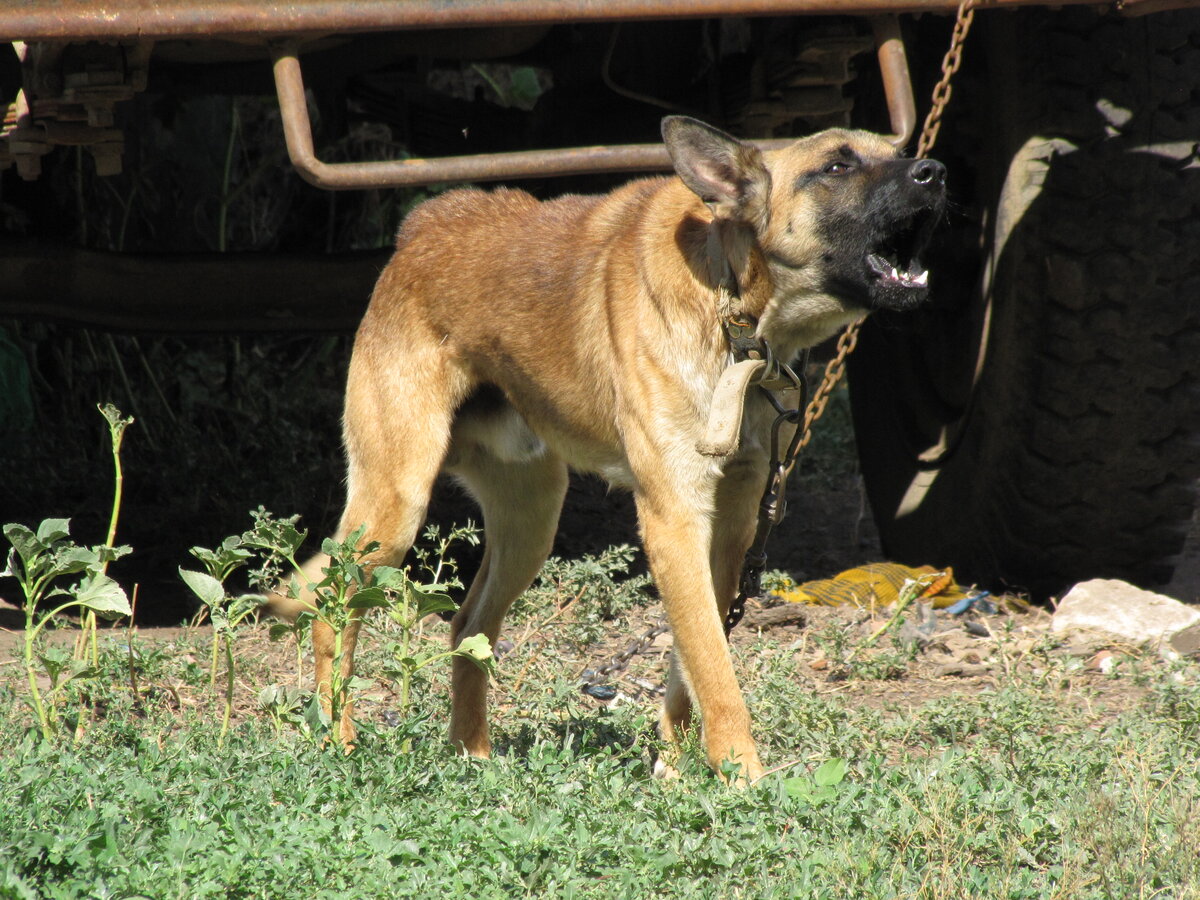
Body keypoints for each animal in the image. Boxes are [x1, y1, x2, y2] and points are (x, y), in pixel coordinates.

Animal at [276, 118, 940, 782]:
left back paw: (473, 756)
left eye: (900, 152)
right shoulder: (674, 519)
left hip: (531, 522)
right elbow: (715, 668)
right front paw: (743, 777)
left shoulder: (729, 523)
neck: (732, 311)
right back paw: (341, 743)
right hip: (396, 504)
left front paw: (675, 768)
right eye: (836, 166)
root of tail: (422, 227)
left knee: (468, 626)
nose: (934, 171)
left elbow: (690, 663)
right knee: (334, 613)